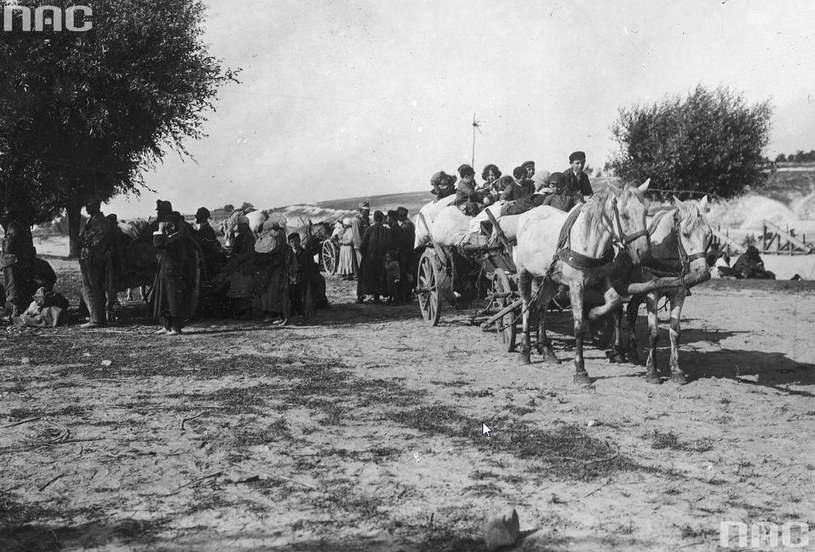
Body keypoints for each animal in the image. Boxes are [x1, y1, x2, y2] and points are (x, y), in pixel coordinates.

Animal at [624, 197, 712, 384]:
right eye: (685, 233)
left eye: (709, 234)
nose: (701, 272)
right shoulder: (652, 294)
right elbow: (654, 333)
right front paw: (652, 371)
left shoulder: (678, 294)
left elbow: (675, 332)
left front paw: (676, 369)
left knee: (631, 310)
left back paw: (632, 351)